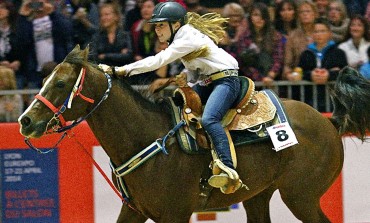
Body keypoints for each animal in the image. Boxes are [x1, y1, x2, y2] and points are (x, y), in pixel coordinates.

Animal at [18, 45, 370, 223]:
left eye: (61, 83)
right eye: (46, 78)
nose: (25, 121)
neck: (147, 137)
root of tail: (329, 123)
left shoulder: (175, 215)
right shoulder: (133, 211)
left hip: (301, 196)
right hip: (259, 197)